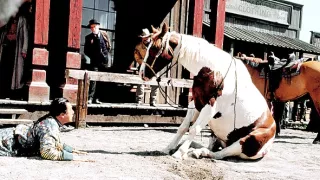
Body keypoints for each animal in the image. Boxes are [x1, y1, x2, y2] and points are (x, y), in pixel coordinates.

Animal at [139, 22, 276, 160]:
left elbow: (194, 129)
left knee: (220, 154)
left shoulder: (210, 107)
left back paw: (199, 152)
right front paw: (168, 148)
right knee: (211, 147)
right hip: (215, 136)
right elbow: (183, 127)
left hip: (246, 141)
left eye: (154, 48)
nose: (142, 73)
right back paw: (194, 150)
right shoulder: (195, 104)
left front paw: (179, 153)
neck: (214, 72)